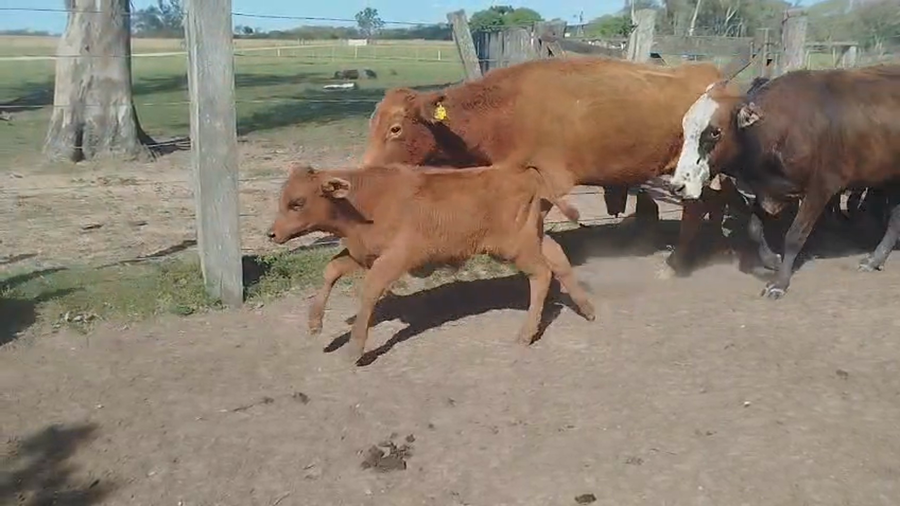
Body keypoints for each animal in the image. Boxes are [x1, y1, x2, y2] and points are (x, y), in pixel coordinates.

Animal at [267, 162, 596, 364]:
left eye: (297, 202)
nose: (272, 233)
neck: (368, 201)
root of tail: (523, 172)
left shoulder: (396, 258)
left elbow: (370, 290)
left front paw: (355, 348)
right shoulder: (364, 255)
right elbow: (332, 269)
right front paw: (314, 323)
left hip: (518, 247)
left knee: (541, 273)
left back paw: (526, 334)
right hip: (534, 238)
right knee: (558, 259)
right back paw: (587, 308)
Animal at [361, 56, 741, 276]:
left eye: (395, 129)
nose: (367, 170)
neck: (506, 110)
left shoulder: (546, 176)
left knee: (698, 206)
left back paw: (681, 259)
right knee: (716, 201)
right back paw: (719, 245)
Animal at [669, 64, 900, 298]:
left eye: (715, 132)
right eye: (685, 127)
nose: (678, 185)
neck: (782, 129)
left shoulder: (820, 189)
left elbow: (794, 236)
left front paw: (779, 283)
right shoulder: (765, 190)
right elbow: (754, 229)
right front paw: (772, 261)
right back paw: (875, 259)